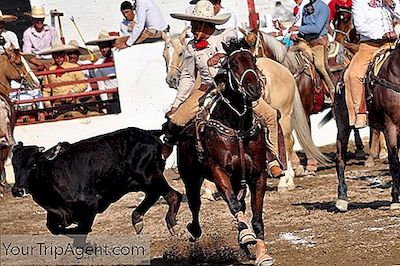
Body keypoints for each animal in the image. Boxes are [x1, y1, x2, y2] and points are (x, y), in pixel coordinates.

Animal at [10, 128, 183, 236]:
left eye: (33, 164)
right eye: (13, 164)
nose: (17, 190)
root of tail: (149, 133)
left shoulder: (89, 205)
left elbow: (81, 229)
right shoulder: (56, 212)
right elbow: (53, 227)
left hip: (149, 176)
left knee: (173, 195)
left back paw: (171, 224)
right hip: (138, 182)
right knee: (155, 195)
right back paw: (137, 219)